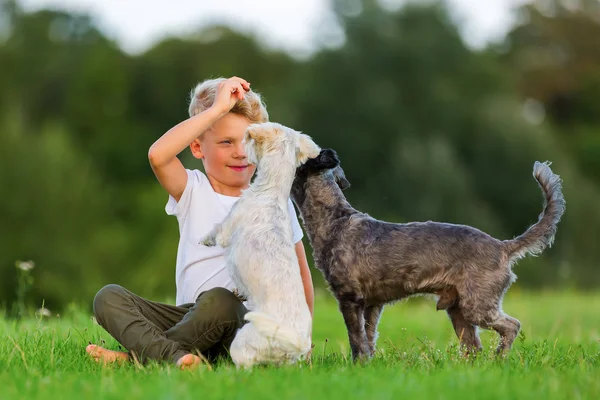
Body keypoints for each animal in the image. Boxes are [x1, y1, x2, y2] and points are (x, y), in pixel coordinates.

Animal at [200, 122, 322, 368]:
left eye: (248, 138)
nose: (242, 150)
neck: (270, 192)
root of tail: (297, 342)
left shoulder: (228, 227)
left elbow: (218, 230)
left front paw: (206, 239)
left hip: (243, 341)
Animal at [292, 148, 564, 360]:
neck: (335, 220)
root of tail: (503, 246)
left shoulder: (349, 299)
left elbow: (356, 339)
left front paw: (358, 365)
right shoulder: (372, 304)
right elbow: (368, 337)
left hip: (478, 305)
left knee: (511, 326)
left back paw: (499, 358)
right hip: (458, 310)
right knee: (474, 347)